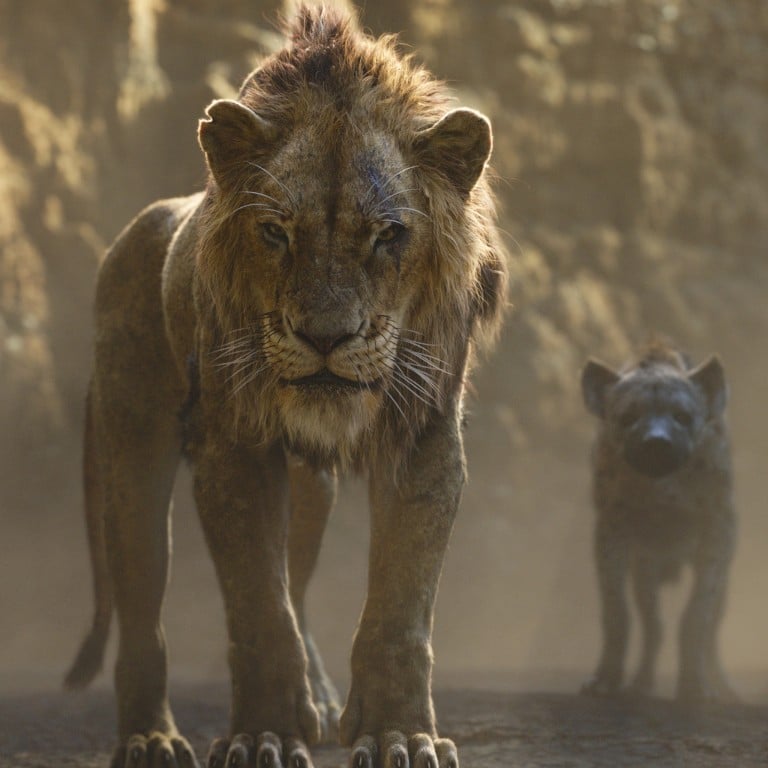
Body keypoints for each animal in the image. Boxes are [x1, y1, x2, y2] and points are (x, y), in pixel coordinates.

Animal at [64, 6, 507, 768]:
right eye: (275, 232)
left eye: (388, 236)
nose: (326, 337)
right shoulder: (235, 448)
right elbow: (257, 607)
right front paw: (263, 734)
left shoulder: (424, 436)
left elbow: (398, 609)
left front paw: (397, 734)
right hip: (132, 453)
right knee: (144, 609)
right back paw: (151, 737)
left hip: (310, 491)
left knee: (297, 582)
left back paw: (321, 701)